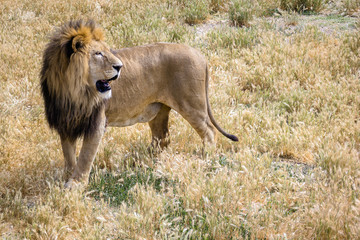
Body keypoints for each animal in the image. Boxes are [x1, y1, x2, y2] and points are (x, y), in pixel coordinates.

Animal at [40, 19, 238, 188]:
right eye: (98, 53)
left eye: (108, 51)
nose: (120, 66)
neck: (73, 90)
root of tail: (199, 54)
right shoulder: (65, 121)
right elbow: (68, 154)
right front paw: (67, 176)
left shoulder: (96, 122)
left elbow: (85, 156)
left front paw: (76, 184)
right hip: (159, 110)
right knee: (163, 138)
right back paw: (138, 159)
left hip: (191, 105)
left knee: (209, 131)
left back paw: (206, 157)